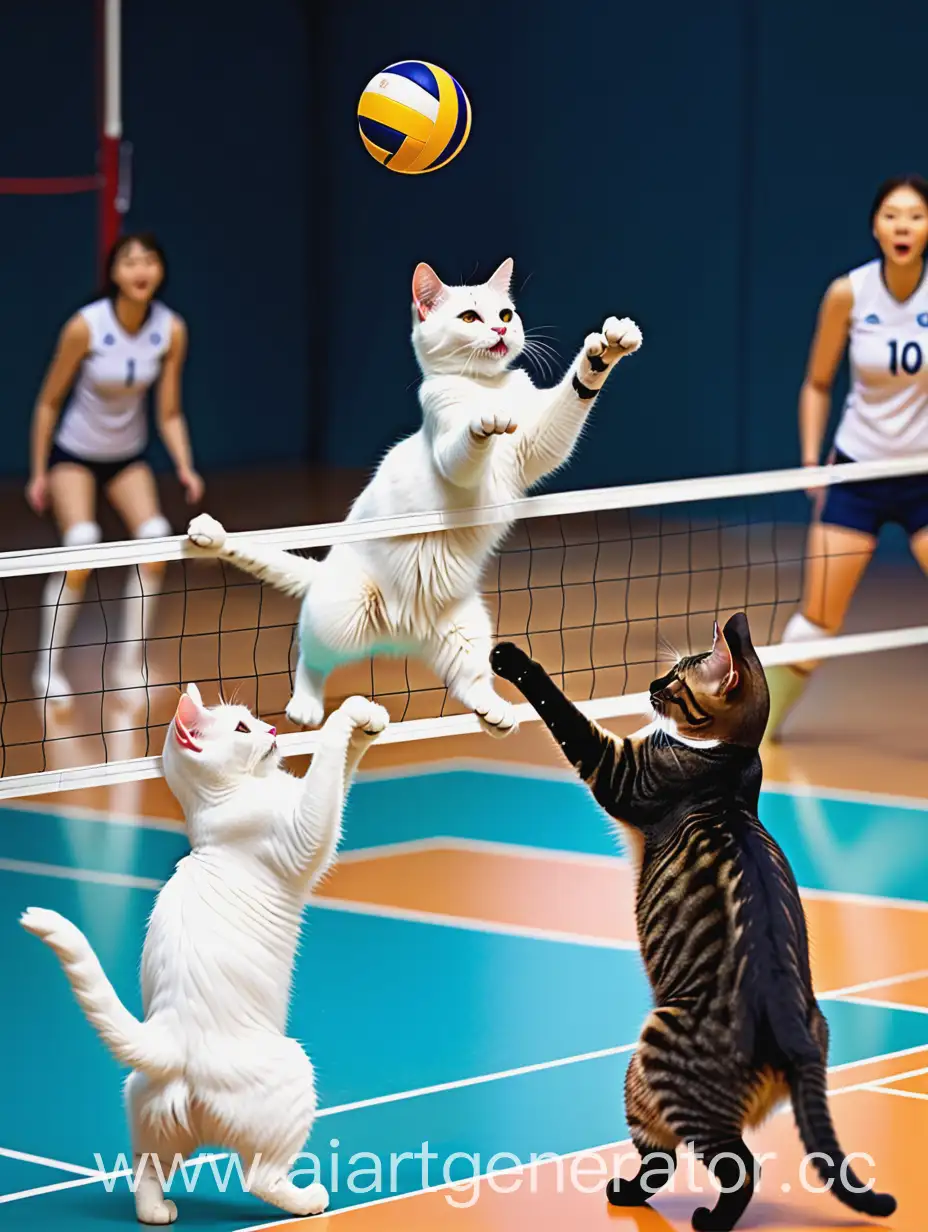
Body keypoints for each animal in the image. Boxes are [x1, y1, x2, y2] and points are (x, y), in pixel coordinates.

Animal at [19, 684, 386, 1222]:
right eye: (241, 729)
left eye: (253, 719)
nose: (272, 730)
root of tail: (171, 1042)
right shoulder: (306, 830)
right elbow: (328, 759)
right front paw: (352, 714)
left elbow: (344, 762)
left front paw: (371, 719)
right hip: (293, 1075)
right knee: (260, 1178)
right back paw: (308, 1200)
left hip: (150, 1119)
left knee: (146, 1172)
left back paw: (157, 1213)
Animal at [186, 252, 640, 729]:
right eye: (469, 317)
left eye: (504, 314)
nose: (500, 331)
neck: (486, 386)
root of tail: (401, 633)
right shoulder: (452, 453)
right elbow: (465, 444)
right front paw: (485, 421)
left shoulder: (538, 445)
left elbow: (573, 395)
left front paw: (606, 350)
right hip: (341, 615)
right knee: (311, 657)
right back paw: (305, 706)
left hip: (468, 629)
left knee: (469, 684)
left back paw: (495, 714)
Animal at [488, 613, 892, 1232]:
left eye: (678, 681)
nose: (652, 683)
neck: (732, 758)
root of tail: (795, 1037)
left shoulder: (615, 768)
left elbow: (558, 705)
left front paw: (510, 657)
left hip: (653, 1061)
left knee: (727, 1166)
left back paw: (678, 1209)